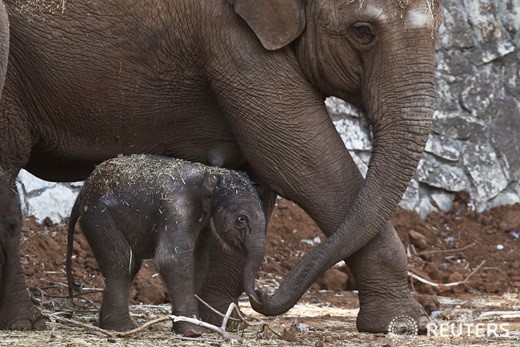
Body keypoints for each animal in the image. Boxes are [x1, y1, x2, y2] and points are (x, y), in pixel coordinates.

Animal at [65, 155, 266, 338]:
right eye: (241, 219)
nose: (261, 293)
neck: (208, 173)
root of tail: (82, 193)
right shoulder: (176, 208)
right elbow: (172, 261)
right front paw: (193, 331)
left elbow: (198, 262)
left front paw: (189, 326)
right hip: (98, 216)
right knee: (121, 262)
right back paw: (124, 329)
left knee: (131, 264)